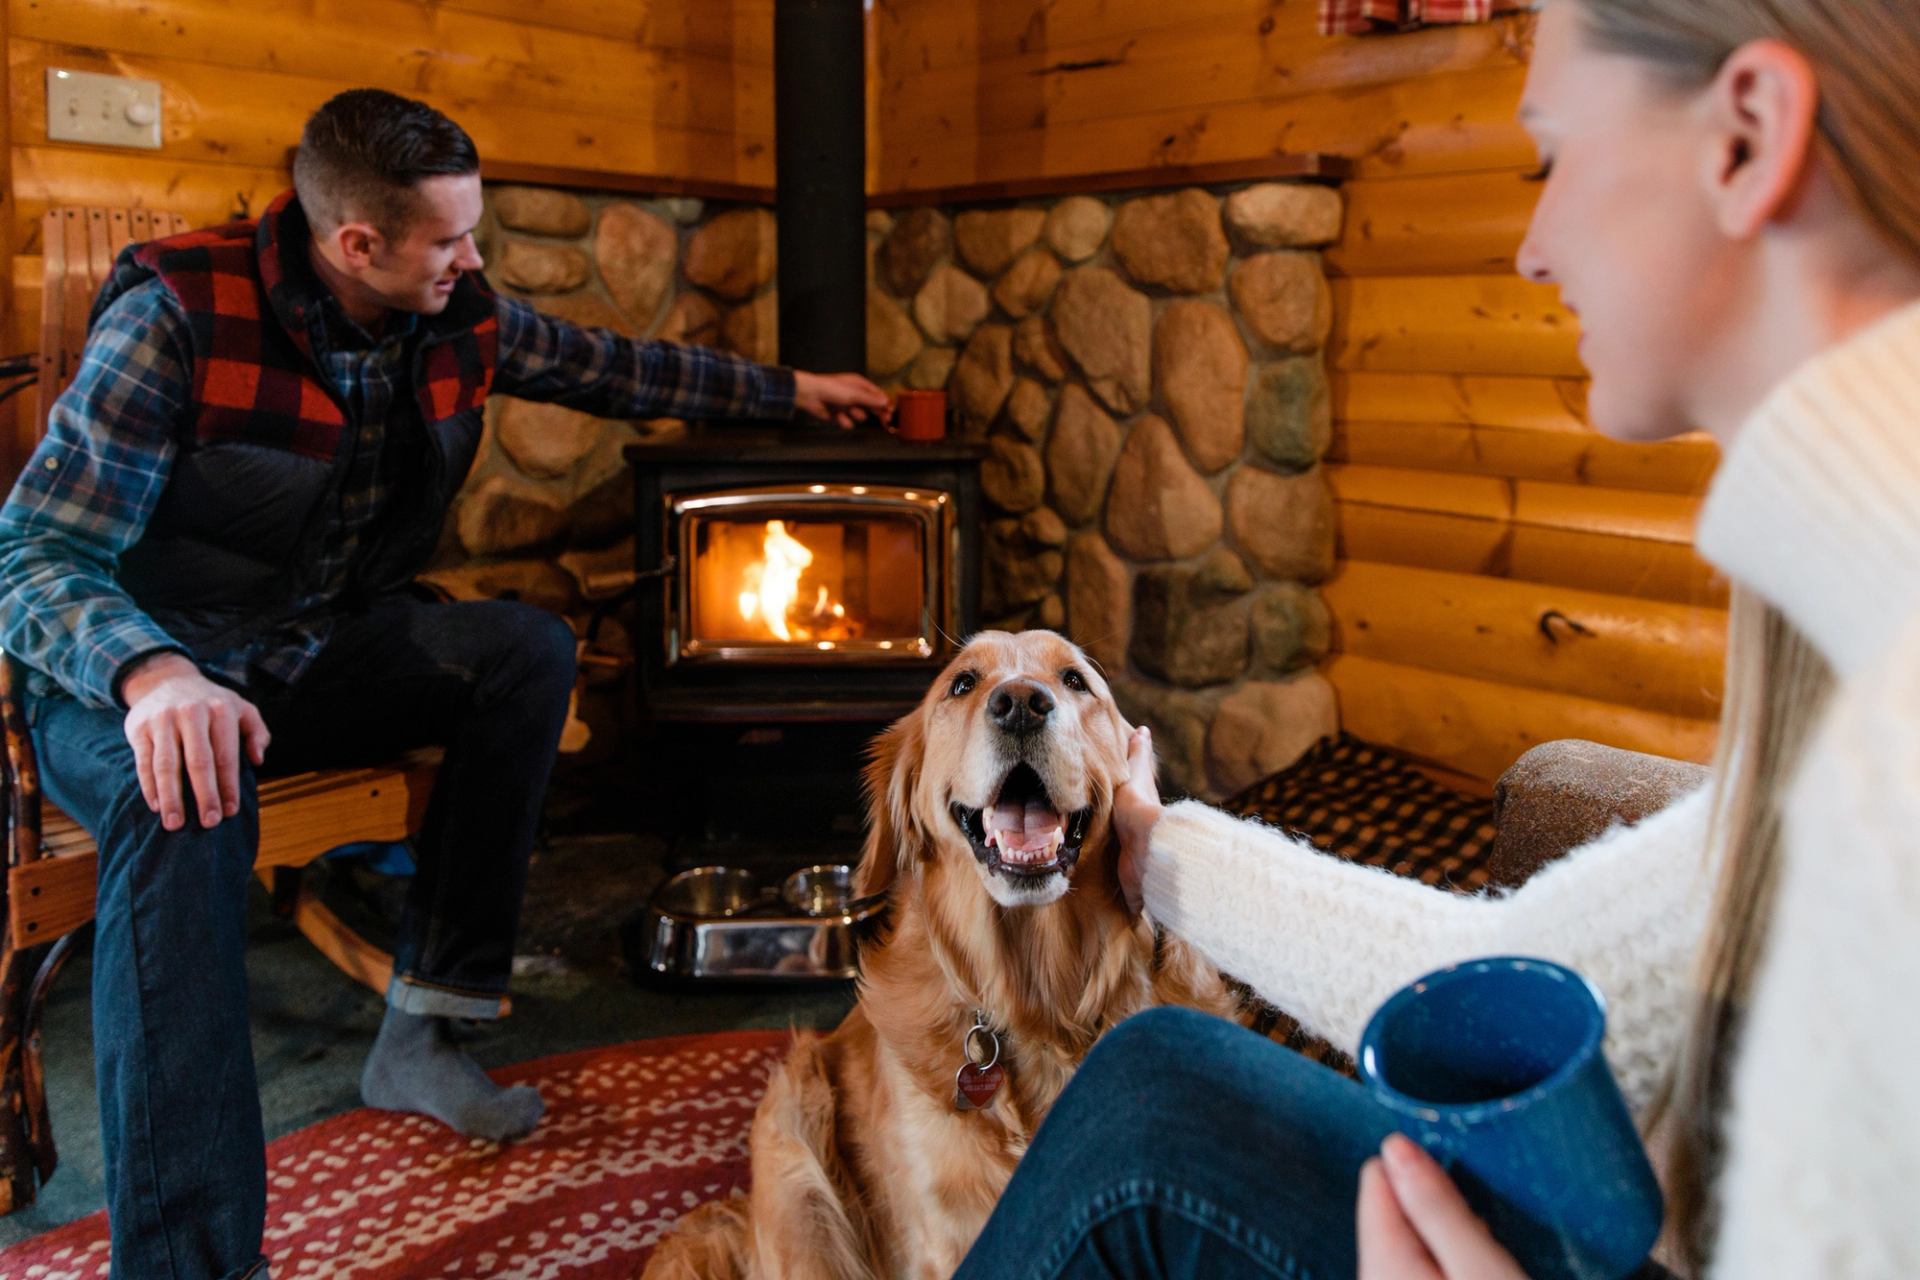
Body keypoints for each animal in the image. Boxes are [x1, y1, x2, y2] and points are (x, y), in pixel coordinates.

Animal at [645, 629, 1236, 1280]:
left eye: (1075, 681)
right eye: (962, 684)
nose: (1021, 704)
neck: (1038, 998)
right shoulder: (940, 1232)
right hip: (793, 1140)